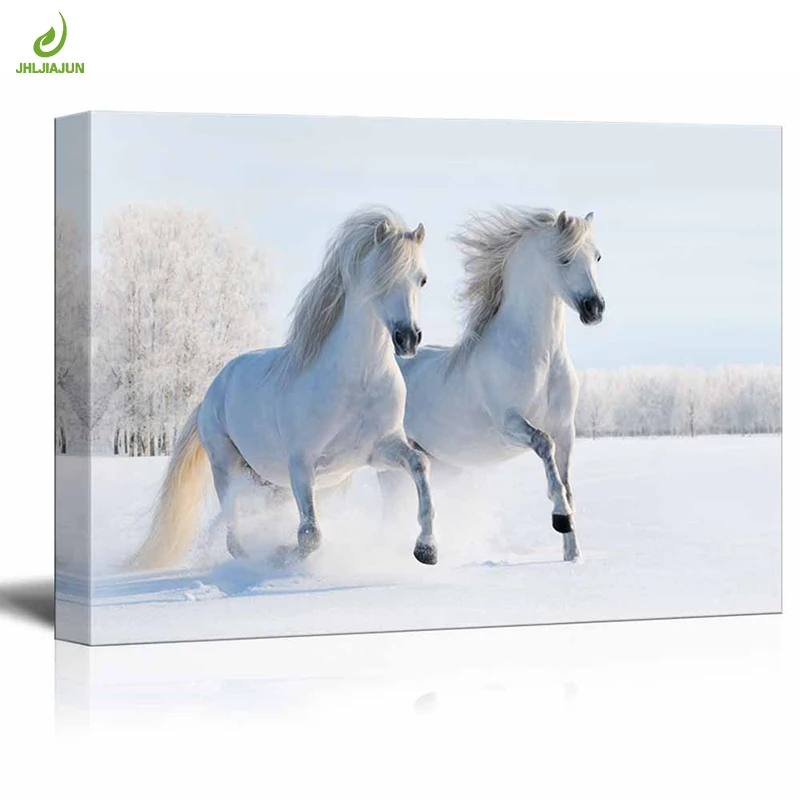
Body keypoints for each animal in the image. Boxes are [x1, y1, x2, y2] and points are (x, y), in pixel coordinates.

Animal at [131, 207, 437, 570]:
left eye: (422, 279)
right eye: (381, 277)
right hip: (227, 467)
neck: (357, 381)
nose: (408, 338)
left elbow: (420, 465)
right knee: (232, 529)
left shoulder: (378, 451)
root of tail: (213, 389)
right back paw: (249, 559)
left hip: (268, 482)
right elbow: (310, 535)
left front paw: (427, 549)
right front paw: (281, 555)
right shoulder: (301, 464)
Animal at [380, 208, 605, 562]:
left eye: (597, 256)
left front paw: (572, 554)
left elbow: (568, 485)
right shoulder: (509, 424)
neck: (541, 357)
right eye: (564, 258)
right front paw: (560, 518)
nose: (594, 308)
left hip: (437, 461)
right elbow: (544, 447)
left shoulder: (566, 429)